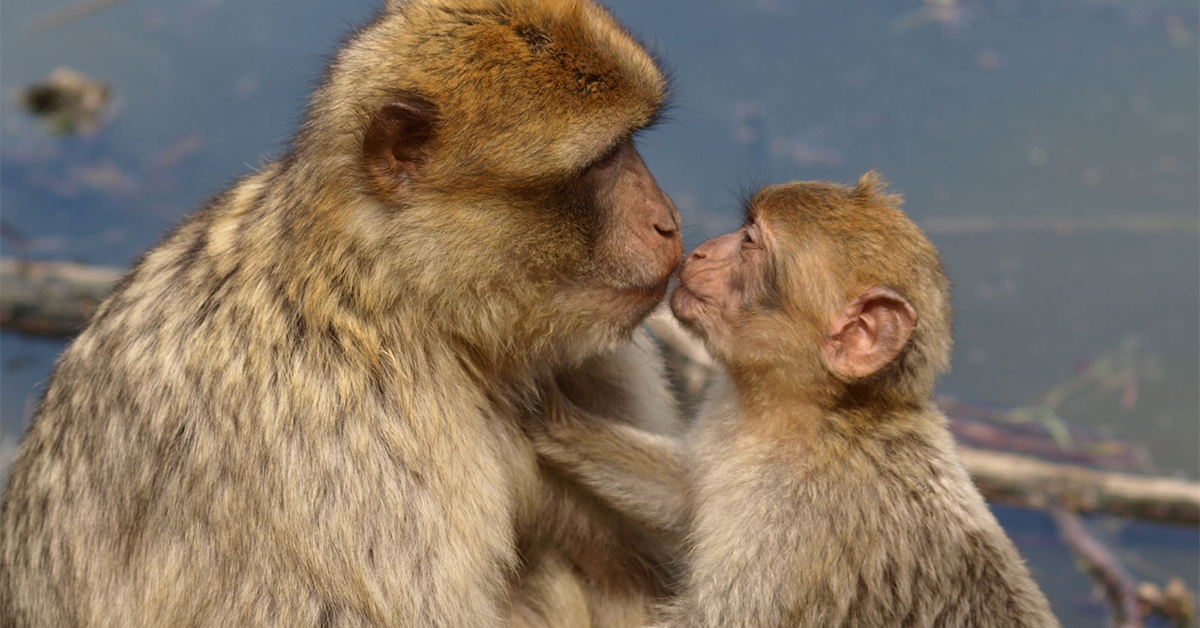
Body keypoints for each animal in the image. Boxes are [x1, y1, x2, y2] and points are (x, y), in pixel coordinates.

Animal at [530, 173, 1063, 627]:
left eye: (749, 241)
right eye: (743, 228)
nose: (699, 252)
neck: (814, 413)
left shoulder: (805, 520)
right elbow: (681, 497)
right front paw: (545, 412)